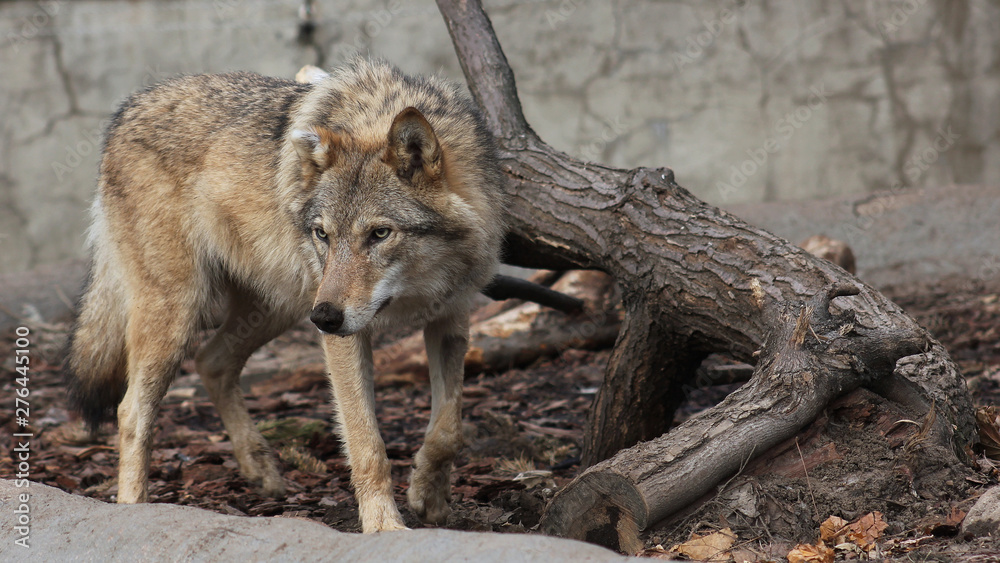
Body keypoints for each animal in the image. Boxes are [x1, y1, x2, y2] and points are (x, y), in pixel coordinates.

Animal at [66, 59, 506, 533]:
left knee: (212, 361)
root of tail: (126, 108)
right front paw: (384, 527)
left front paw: (431, 498)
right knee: (131, 410)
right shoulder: (346, 337)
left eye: (379, 234)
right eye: (322, 235)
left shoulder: (451, 318)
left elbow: (448, 429)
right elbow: (367, 444)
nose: (327, 318)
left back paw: (260, 468)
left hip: (282, 306)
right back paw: (135, 508)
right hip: (187, 311)